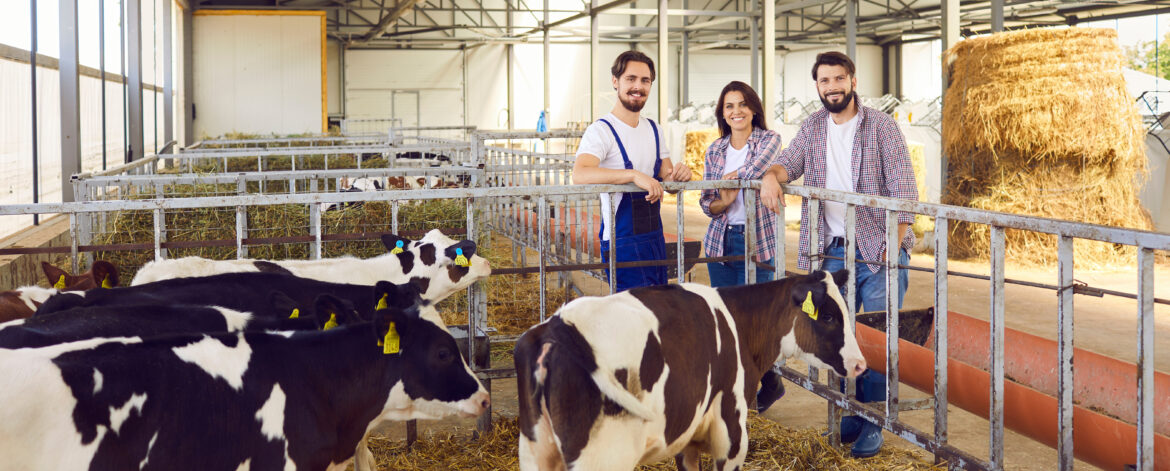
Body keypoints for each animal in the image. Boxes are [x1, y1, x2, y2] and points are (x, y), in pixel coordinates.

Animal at [514, 271, 870, 469]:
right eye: (828, 317)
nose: (860, 363)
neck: (739, 324)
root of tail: (558, 327)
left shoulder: (688, 438)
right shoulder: (731, 432)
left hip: (536, 451)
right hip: (602, 456)